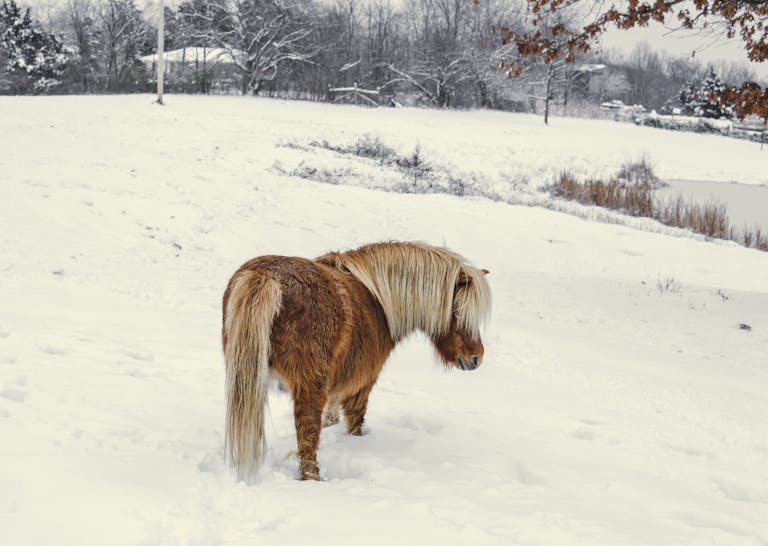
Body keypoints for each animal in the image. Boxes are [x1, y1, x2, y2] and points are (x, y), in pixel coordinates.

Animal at [221, 241, 491, 481]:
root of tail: (265, 276)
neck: (378, 301)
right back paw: (313, 478)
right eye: (457, 311)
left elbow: (331, 415)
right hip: (308, 387)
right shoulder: (362, 383)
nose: (476, 358)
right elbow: (355, 422)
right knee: (307, 435)